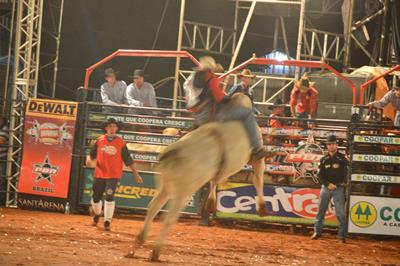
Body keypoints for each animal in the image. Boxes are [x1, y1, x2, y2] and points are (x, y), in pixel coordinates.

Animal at [126, 93, 274, 260]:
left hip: (165, 184)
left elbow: (215, 181)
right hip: (183, 191)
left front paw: (211, 202)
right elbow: (258, 179)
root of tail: (175, 152)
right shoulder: (257, 159)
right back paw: (156, 252)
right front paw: (262, 208)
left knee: (154, 206)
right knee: (170, 217)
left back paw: (138, 243)